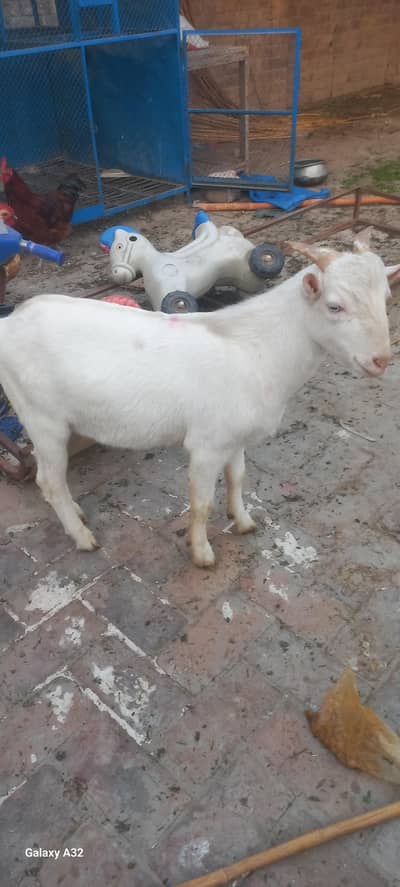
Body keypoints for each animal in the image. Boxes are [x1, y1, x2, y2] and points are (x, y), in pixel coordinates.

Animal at [0, 229, 393, 567]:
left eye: (386, 297)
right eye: (335, 306)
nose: (382, 360)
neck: (256, 347)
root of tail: (10, 323)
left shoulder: (235, 437)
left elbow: (238, 479)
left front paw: (243, 521)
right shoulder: (206, 445)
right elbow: (201, 503)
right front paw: (202, 554)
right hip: (42, 419)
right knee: (49, 481)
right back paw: (82, 537)